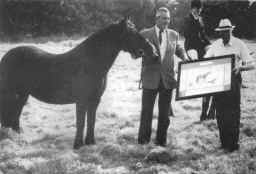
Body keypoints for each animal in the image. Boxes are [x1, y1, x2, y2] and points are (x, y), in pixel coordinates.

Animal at [0, 18, 158, 148]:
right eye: (132, 33)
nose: (153, 52)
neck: (91, 63)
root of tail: (7, 56)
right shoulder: (81, 100)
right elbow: (81, 122)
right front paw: (78, 145)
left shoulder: (94, 100)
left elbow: (91, 121)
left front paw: (90, 142)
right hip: (10, 94)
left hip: (22, 95)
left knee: (15, 114)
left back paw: (17, 138)